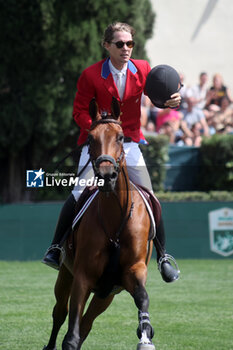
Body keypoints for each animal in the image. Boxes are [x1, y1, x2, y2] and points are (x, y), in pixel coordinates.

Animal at [43, 96, 158, 350]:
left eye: (121, 137)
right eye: (90, 138)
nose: (106, 176)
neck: (115, 217)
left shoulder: (132, 271)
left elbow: (143, 297)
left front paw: (145, 334)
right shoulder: (82, 276)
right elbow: (71, 333)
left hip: (106, 294)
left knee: (86, 322)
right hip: (66, 276)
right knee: (60, 312)